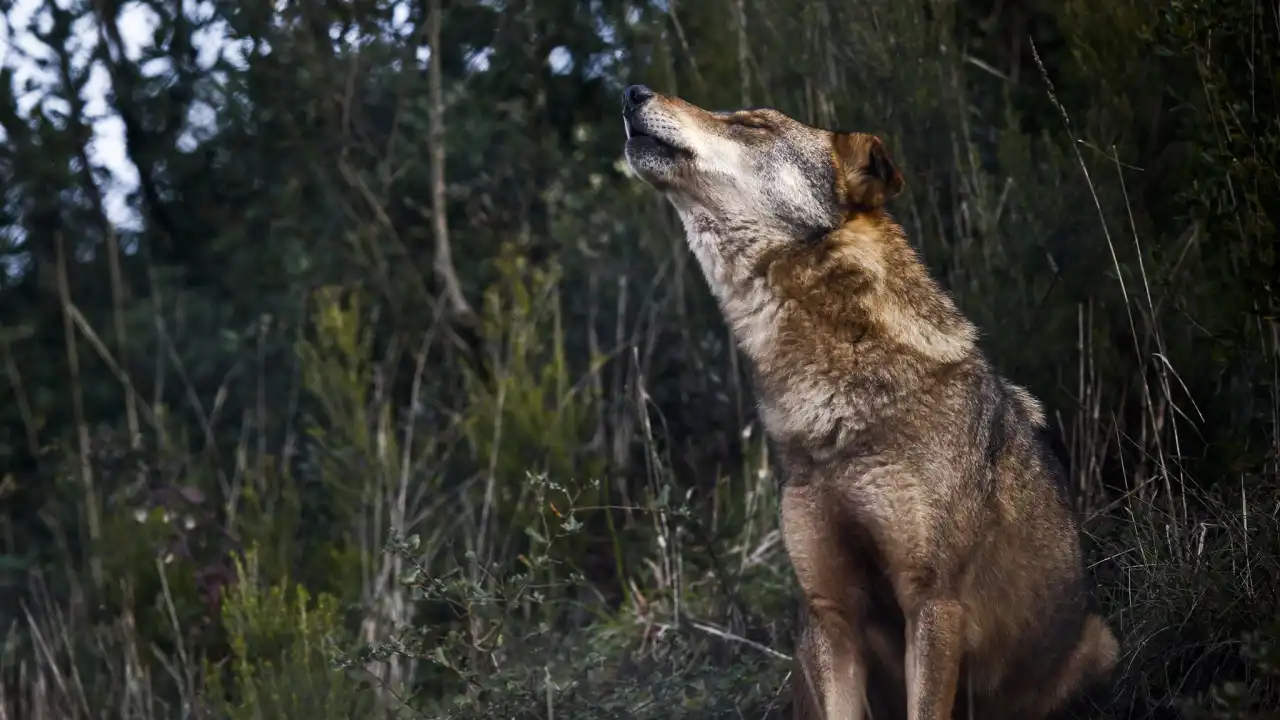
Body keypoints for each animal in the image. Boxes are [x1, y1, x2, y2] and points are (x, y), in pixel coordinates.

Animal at [622, 85, 1121, 717]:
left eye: (753, 124)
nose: (632, 91)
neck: (830, 409)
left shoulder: (931, 603)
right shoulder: (833, 615)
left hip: (1099, 648)